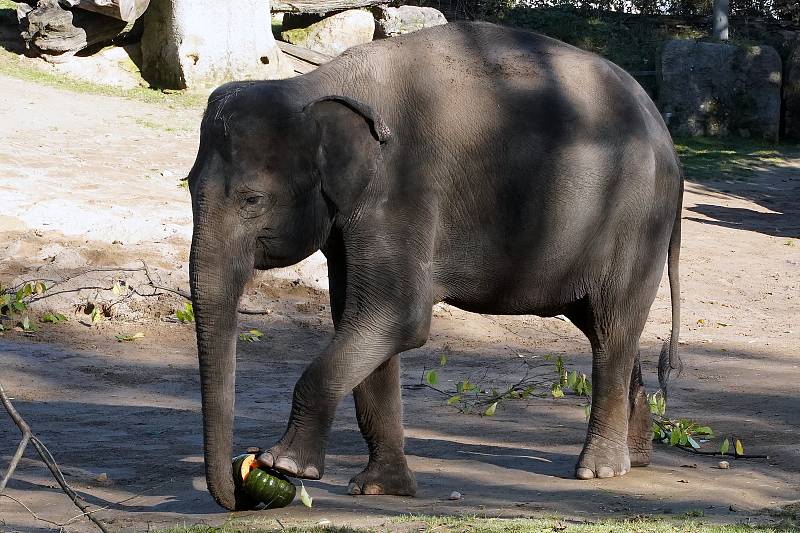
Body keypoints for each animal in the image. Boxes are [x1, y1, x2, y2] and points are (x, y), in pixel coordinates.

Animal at [188, 21, 680, 512]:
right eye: (188, 184)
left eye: (253, 199)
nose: (239, 492)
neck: (317, 84)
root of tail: (665, 135)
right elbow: (359, 320)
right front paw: (380, 488)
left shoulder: (402, 192)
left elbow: (396, 319)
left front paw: (285, 465)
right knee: (607, 328)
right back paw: (637, 457)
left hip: (636, 221)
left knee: (612, 328)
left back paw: (599, 470)